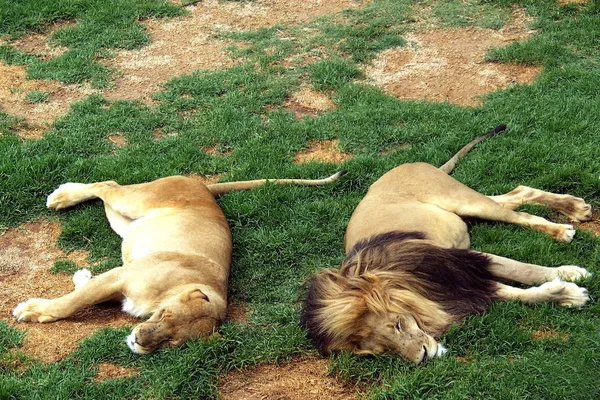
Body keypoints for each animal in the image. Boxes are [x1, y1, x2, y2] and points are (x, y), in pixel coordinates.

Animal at [14, 172, 344, 354]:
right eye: (167, 316)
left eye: (173, 342)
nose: (139, 341)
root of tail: (204, 187)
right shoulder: (122, 275)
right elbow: (72, 303)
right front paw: (32, 310)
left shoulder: (118, 280)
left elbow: (85, 292)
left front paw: (81, 278)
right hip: (134, 201)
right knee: (107, 184)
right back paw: (60, 197)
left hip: (126, 224)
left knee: (106, 192)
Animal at [302, 126, 592, 366]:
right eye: (383, 350)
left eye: (396, 325)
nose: (422, 357)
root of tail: (410, 163)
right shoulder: (458, 287)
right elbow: (519, 294)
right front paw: (568, 294)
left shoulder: (461, 260)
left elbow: (523, 270)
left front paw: (572, 275)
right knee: (519, 193)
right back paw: (574, 208)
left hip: (464, 200)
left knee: (518, 213)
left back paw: (563, 227)